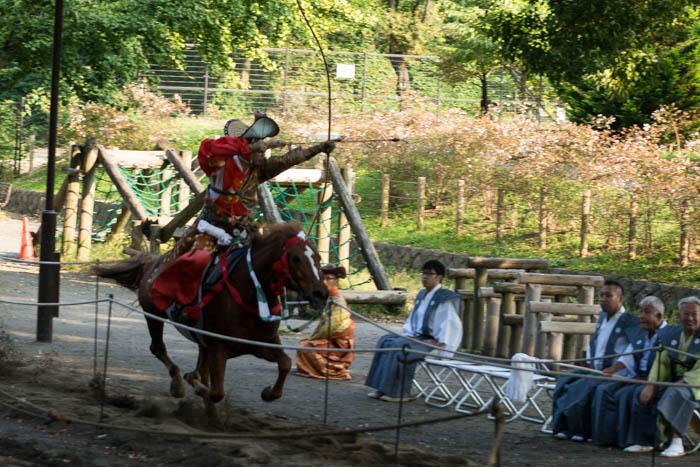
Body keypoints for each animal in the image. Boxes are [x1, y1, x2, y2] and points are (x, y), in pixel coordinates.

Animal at [92, 221, 328, 422]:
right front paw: (193, 382)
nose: (321, 294)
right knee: (158, 348)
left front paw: (269, 392)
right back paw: (178, 384)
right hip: (153, 314)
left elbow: (286, 363)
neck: (248, 293)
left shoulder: (262, 343)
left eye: (317, 258)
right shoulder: (218, 347)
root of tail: (153, 262)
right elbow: (215, 391)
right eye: (296, 258)